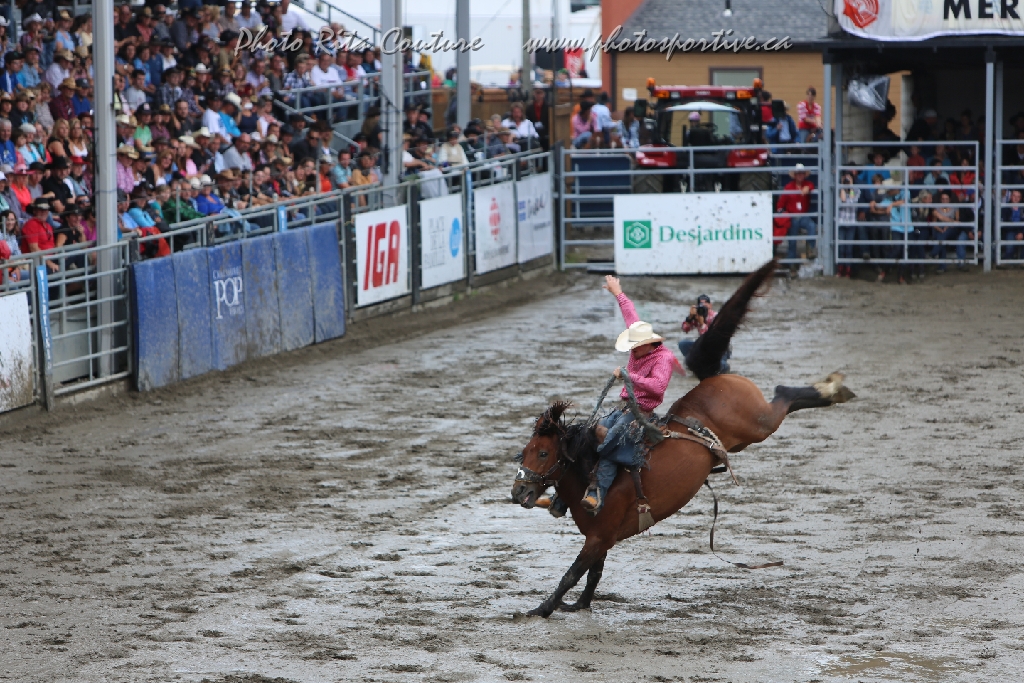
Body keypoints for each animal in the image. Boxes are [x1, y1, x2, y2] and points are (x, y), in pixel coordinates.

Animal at [510, 259, 854, 617]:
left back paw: (832, 389)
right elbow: (593, 574)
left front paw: (540, 609)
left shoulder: (598, 538)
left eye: (544, 453)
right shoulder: (601, 539)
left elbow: (573, 573)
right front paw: (579, 605)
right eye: (525, 451)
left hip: (759, 423)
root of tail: (714, 377)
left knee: (784, 394)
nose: (518, 491)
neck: (589, 475)